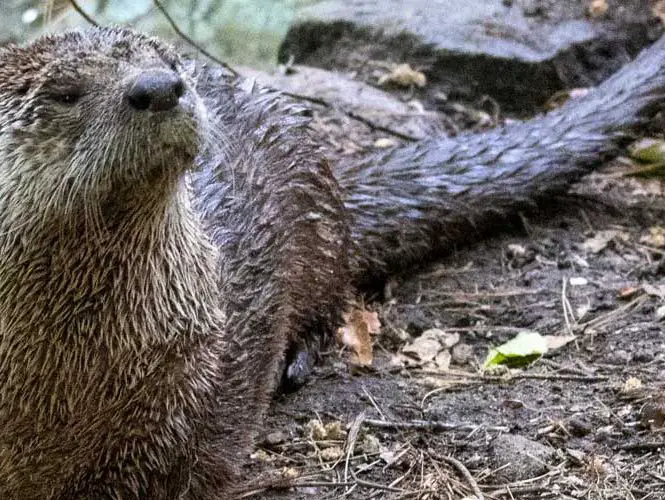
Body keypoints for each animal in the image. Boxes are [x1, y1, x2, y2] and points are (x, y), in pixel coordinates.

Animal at [0, 26, 664, 498]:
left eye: (171, 61)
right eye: (65, 93)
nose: (160, 86)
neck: (66, 392)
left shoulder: (190, 408)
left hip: (311, 204)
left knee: (332, 295)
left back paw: (296, 361)